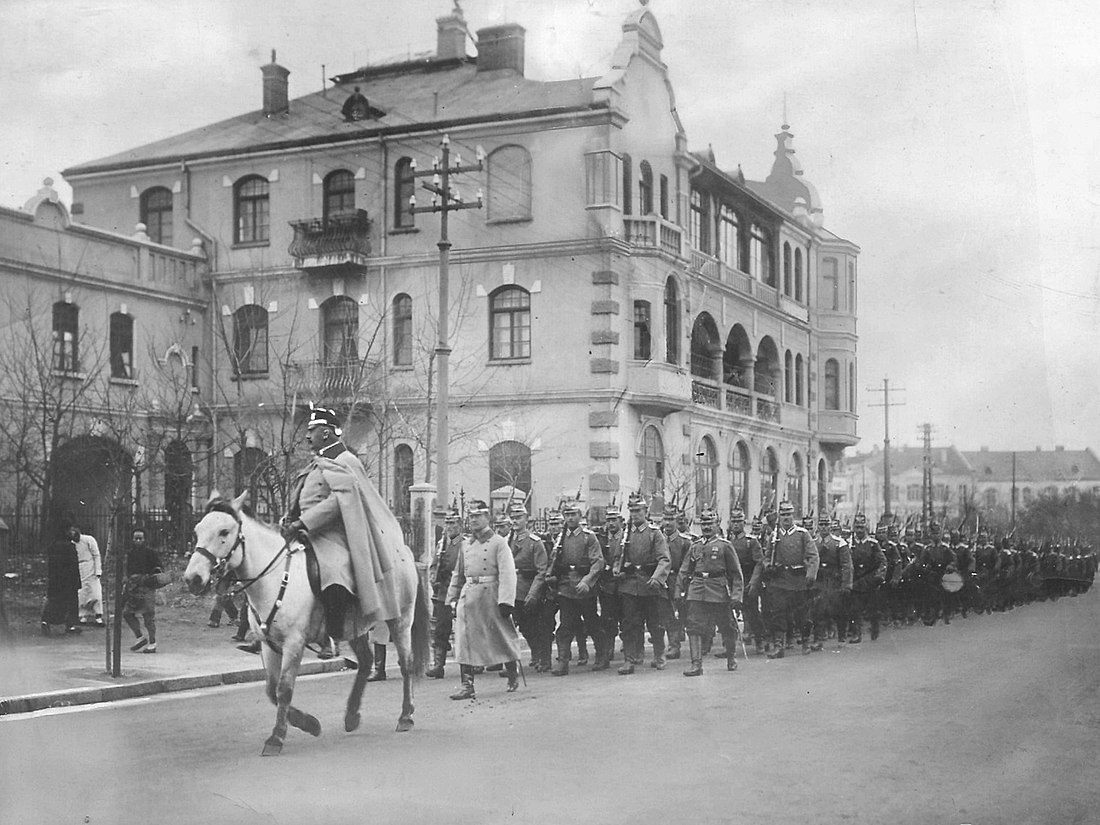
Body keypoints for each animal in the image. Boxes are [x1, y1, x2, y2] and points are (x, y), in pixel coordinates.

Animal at [182, 495, 426, 761]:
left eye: (224, 532)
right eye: (197, 530)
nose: (193, 579)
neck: (275, 577)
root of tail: (403, 551)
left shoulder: (293, 644)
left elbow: (284, 689)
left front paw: (276, 738)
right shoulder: (269, 644)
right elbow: (271, 690)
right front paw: (310, 724)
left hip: (400, 620)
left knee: (406, 664)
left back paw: (406, 716)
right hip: (355, 627)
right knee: (366, 661)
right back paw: (352, 716)